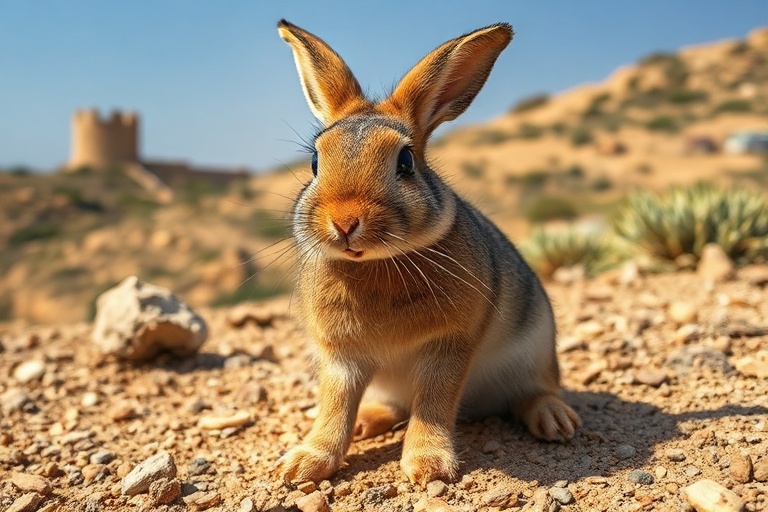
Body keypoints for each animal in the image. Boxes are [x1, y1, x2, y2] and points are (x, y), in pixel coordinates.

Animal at [275, 19, 581, 486]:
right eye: (314, 162)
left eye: (405, 162)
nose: (344, 222)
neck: (376, 264)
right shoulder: (341, 357)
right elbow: (334, 406)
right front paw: (304, 464)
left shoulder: (448, 345)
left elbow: (434, 404)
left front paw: (428, 466)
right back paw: (367, 422)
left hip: (536, 353)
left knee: (533, 393)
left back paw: (555, 420)